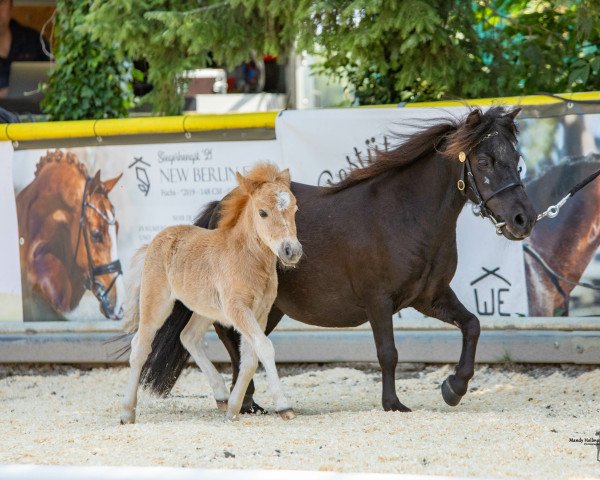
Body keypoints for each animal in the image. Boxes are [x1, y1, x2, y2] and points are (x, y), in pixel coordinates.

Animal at [120, 163, 302, 422]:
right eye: (262, 212)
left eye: (295, 209)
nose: (291, 251)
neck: (248, 259)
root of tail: (155, 240)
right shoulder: (238, 309)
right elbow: (265, 348)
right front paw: (284, 406)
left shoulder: (260, 312)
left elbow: (250, 358)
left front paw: (234, 410)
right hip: (156, 302)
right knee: (140, 347)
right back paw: (127, 413)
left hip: (205, 309)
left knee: (188, 336)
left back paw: (222, 396)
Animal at [142, 107, 540, 410]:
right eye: (484, 160)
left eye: (517, 159)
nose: (524, 219)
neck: (406, 215)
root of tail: (221, 208)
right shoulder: (378, 300)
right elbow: (388, 352)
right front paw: (393, 404)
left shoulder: (430, 297)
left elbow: (472, 325)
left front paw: (453, 389)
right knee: (231, 337)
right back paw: (248, 401)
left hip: (272, 308)